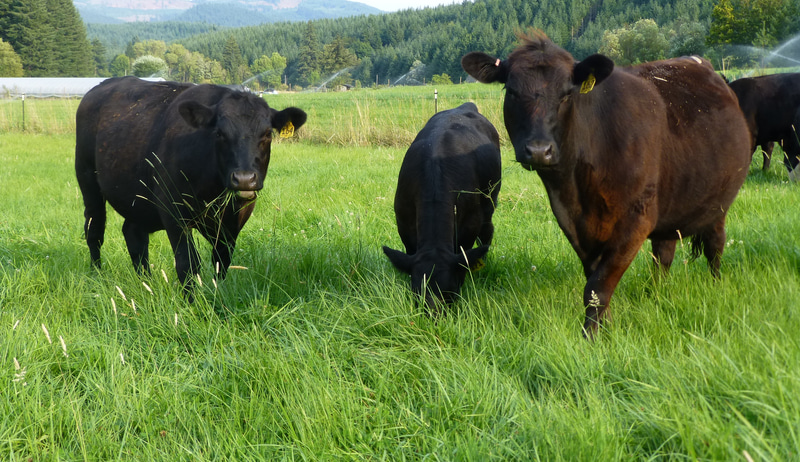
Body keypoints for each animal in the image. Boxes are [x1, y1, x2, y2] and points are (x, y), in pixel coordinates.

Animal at [75, 76, 307, 296]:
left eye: (268, 134)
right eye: (219, 133)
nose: (244, 178)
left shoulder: (234, 220)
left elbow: (221, 261)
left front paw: (217, 293)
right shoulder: (173, 213)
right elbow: (187, 264)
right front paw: (192, 302)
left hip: (138, 199)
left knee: (134, 234)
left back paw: (146, 282)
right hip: (87, 179)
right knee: (94, 230)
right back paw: (97, 276)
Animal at [382, 102, 502, 311]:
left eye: (450, 292)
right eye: (416, 291)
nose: (433, 315)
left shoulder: (470, 223)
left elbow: (464, 255)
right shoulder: (404, 223)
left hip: (490, 199)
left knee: (487, 230)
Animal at [462, 32, 752, 337]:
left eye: (567, 94)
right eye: (511, 91)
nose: (539, 150)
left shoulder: (636, 220)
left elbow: (600, 284)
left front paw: (591, 336)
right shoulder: (574, 222)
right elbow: (594, 281)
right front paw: (606, 324)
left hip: (718, 204)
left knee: (714, 246)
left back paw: (715, 285)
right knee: (663, 254)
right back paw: (656, 294)